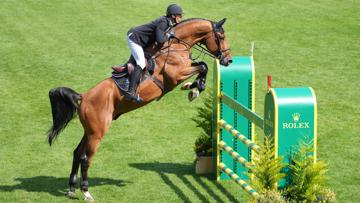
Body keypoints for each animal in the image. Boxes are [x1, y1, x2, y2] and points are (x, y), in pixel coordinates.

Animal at [46, 17, 232, 201]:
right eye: (221, 36)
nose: (228, 60)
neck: (177, 45)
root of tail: (83, 97)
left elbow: (202, 64)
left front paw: (193, 87)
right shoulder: (175, 75)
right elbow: (202, 66)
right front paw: (194, 89)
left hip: (90, 131)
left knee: (77, 153)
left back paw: (71, 188)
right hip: (98, 132)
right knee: (85, 159)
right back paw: (86, 192)